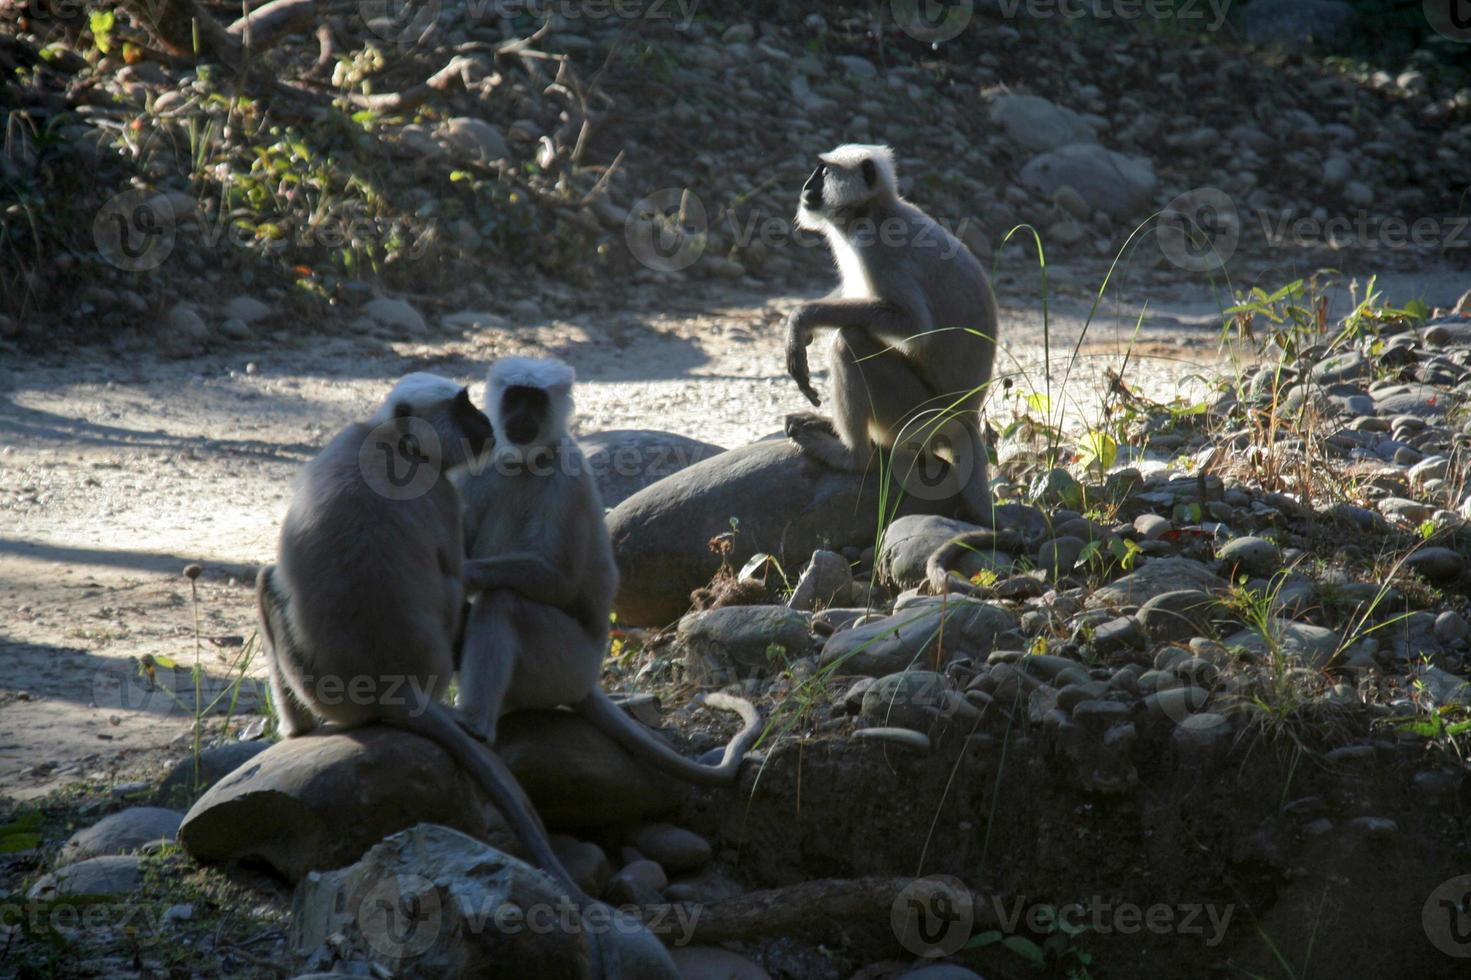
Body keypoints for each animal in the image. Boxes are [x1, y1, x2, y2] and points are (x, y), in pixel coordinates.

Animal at [456, 354, 759, 782]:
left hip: (566, 665)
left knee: (503, 602)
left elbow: (558, 580)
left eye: (535, 402)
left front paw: (464, 573)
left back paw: (476, 723)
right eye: (514, 397)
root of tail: (587, 683)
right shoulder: (481, 466)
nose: (520, 417)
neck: (528, 459)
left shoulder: (566, 478)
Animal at [782, 143, 1000, 526]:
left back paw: (853, 457)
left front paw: (802, 320)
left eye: (823, 171)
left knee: (849, 341)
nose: (807, 185)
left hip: (919, 416)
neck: (872, 211)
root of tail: (966, 420)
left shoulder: (879, 248)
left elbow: (913, 326)